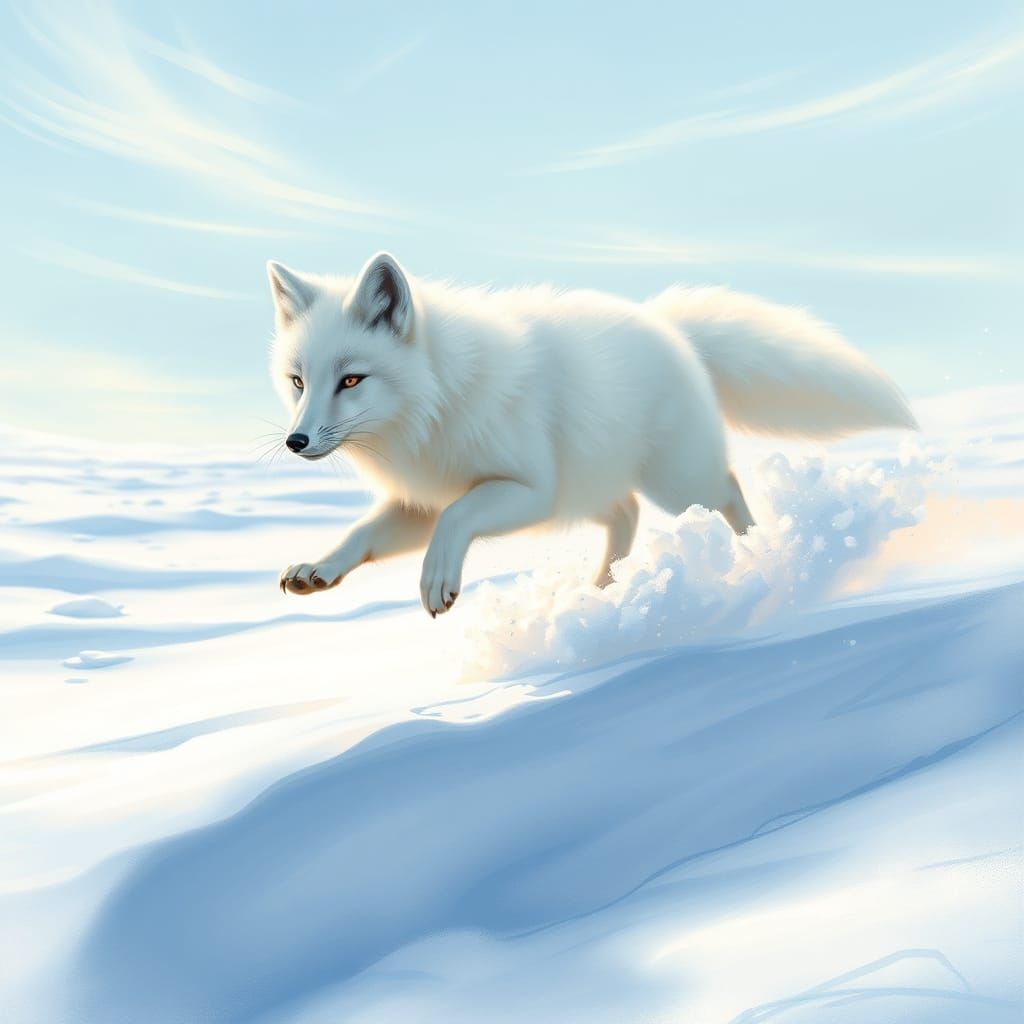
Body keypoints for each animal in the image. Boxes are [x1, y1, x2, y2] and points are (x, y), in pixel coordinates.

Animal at [269, 252, 917, 616]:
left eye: (351, 379)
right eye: (299, 382)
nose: (295, 443)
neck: (434, 405)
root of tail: (667, 325)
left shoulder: (529, 490)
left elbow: (456, 520)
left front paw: (437, 582)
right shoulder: (422, 499)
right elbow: (365, 532)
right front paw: (319, 569)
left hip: (674, 483)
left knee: (728, 489)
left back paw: (765, 553)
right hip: (596, 482)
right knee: (627, 512)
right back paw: (606, 588)